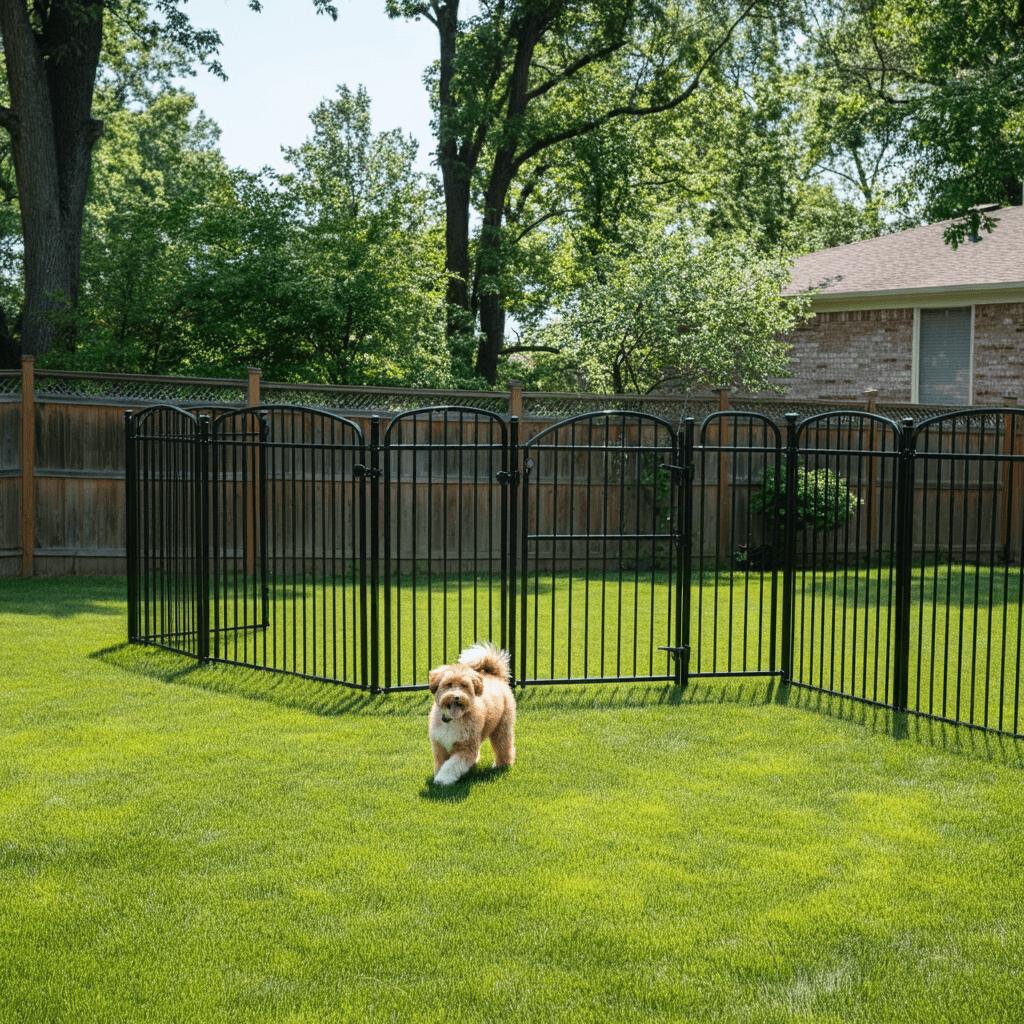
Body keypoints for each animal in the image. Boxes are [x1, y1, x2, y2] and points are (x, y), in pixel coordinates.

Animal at [428, 643, 516, 786]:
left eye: (464, 685)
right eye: (449, 684)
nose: (456, 697)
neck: (453, 720)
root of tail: (495, 675)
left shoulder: (466, 747)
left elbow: (451, 765)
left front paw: (442, 779)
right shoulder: (440, 745)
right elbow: (441, 764)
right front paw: (438, 776)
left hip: (501, 727)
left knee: (504, 746)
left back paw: (502, 764)